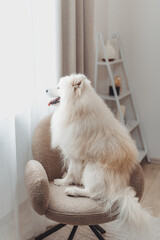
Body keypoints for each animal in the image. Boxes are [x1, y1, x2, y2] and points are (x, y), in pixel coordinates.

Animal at [46, 73, 151, 236]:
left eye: (58, 87)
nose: (45, 90)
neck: (76, 105)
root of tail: (119, 189)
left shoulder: (75, 155)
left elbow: (71, 172)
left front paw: (63, 182)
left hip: (92, 168)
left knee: (95, 194)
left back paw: (73, 191)